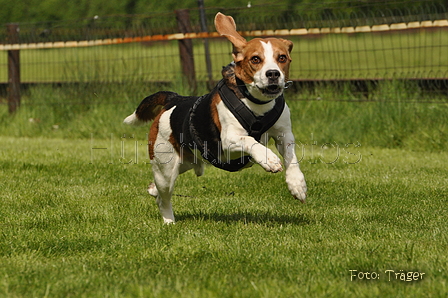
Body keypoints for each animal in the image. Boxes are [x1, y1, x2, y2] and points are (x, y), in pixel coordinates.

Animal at [124, 12, 306, 224]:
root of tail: (174, 99)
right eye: (255, 59)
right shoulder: (228, 140)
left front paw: (297, 184)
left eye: (282, 57)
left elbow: (291, 156)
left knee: (158, 190)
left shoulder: (284, 134)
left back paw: (152, 190)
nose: (273, 74)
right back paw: (169, 221)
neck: (257, 104)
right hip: (165, 169)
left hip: (185, 162)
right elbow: (250, 141)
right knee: (163, 198)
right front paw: (268, 158)